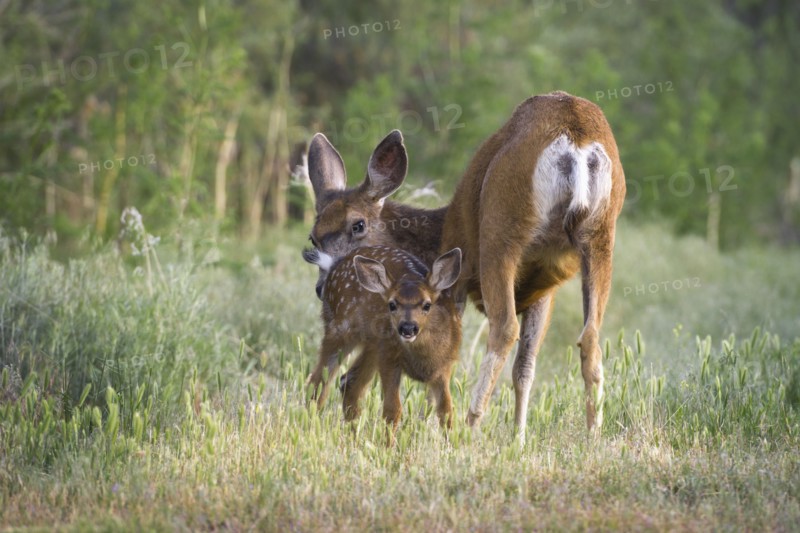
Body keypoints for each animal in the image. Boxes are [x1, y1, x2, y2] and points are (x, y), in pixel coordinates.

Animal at [303, 245, 462, 442]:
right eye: (392, 304)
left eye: (427, 305)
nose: (408, 328)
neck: (424, 360)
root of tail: (334, 264)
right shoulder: (389, 358)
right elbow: (393, 409)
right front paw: (387, 446)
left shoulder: (444, 367)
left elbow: (447, 410)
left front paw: (452, 444)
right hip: (339, 329)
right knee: (317, 382)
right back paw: (310, 428)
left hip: (372, 344)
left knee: (348, 381)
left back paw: (354, 435)